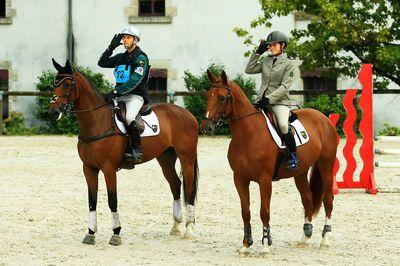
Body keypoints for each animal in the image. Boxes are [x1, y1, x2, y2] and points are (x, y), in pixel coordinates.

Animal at [49, 59, 199, 245]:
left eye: (68, 84)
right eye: (54, 83)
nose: (53, 112)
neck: (98, 122)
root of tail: (188, 114)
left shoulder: (108, 168)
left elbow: (112, 200)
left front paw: (116, 233)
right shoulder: (89, 168)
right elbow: (92, 201)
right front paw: (90, 234)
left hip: (186, 158)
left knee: (190, 189)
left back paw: (189, 229)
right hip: (165, 158)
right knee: (175, 185)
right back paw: (176, 226)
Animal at [202, 69, 336, 256]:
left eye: (222, 98)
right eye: (208, 95)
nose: (206, 127)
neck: (248, 135)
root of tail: (324, 118)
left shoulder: (264, 180)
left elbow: (264, 211)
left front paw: (265, 245)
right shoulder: (240, 179)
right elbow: (245, 212)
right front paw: (246, 244)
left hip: (326, 167)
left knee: (328, 200)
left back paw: (325, 239)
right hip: (300, 172)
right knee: (307, 199)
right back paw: (305, 238)